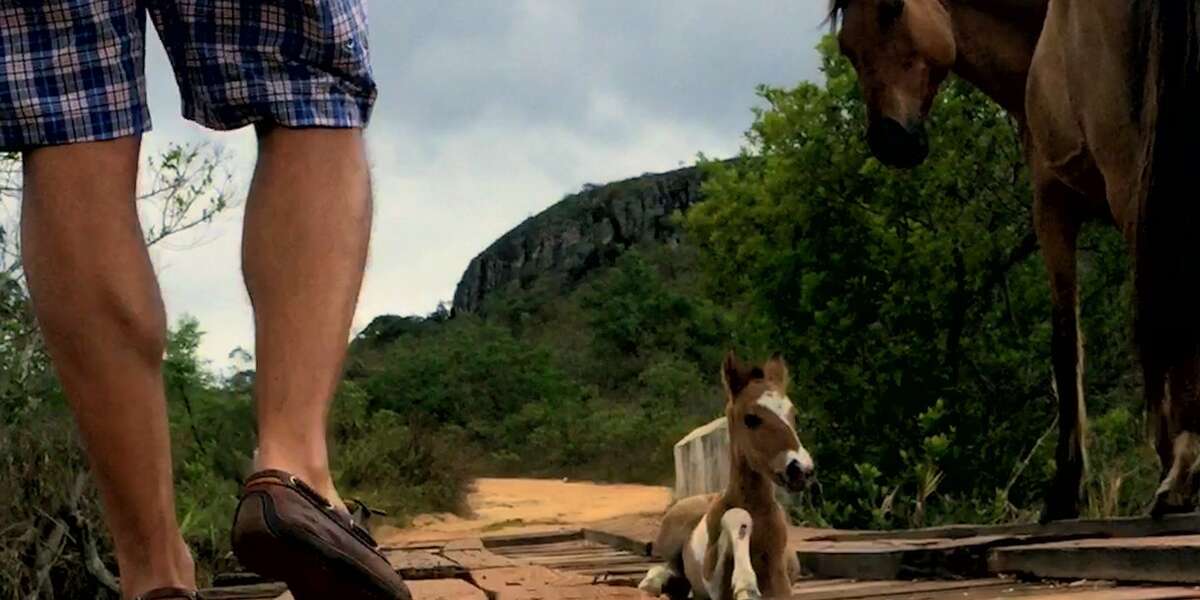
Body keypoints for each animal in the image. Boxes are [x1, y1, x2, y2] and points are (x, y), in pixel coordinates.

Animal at [639, 352, 813, 600]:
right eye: (751, 418)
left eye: (793, 414)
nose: (801, 470)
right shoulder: (712, 578)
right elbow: (736, 517)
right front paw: (745, 585)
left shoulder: (781, 582)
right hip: (669, 540)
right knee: (667, 566)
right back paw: (654, 581)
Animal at [829, 0, 1200, 517]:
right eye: (845, 45)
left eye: (891, 10)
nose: (891, 141)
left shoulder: (1053, 204)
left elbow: (1069, 347)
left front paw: (1066, 491)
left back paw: (1181, 476)